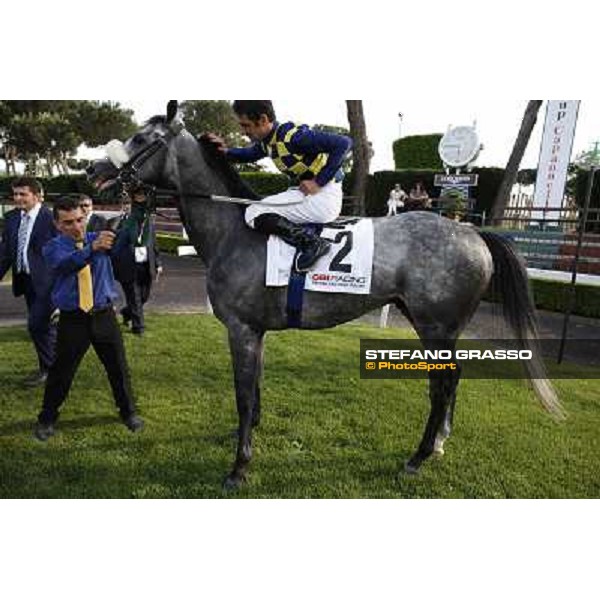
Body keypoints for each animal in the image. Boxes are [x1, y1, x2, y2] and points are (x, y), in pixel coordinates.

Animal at [85, 101, 564, 490]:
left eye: (142, 139)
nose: (93, 171)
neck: (235, 230)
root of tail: (471, 231)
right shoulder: (256, 332)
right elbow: (255, 389)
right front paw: (249, 436)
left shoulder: (241, 329)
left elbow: (242, 395)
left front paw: (239, 467)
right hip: (434, 324)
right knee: (451, 379)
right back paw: (440, 443)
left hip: (436, 326)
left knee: (442, 384)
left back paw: (418, 456)